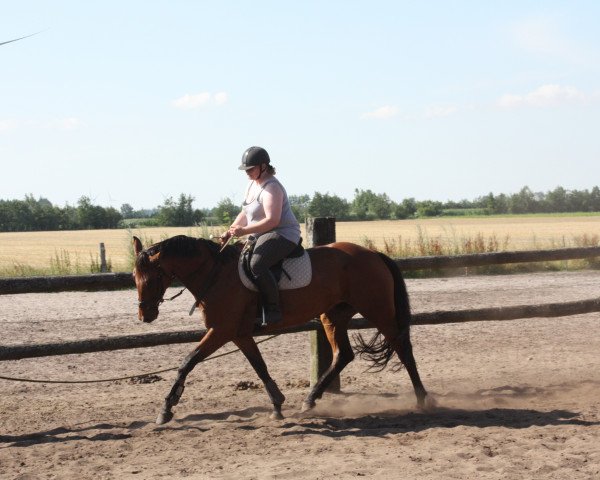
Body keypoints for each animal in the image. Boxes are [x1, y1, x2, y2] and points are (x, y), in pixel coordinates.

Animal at [133, 234, 428, 426]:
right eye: (135, 278)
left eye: (154, 278)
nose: (145, 315)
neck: (216, 274)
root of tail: (373, 254)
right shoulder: (239, 334)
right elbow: (259, 366)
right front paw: (276, 403)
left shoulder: (221, 331)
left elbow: (188, 361)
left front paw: (166, 408)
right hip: (333, 316)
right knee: (343, 355)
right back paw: (310, 399)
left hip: (378, 311)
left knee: (403, 348)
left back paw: (422, 399)